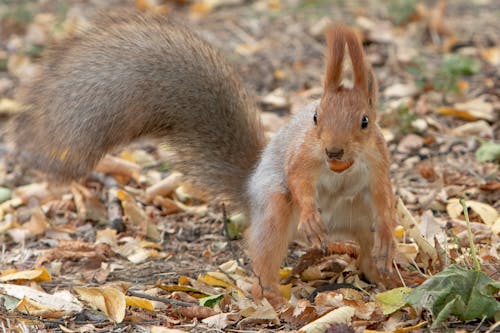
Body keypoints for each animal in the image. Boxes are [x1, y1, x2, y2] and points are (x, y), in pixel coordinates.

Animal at [7, 12, 398, 304]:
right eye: (315, 116)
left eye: (364, 121)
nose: (333, 150)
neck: (340, 166)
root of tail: (249, 190)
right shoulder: (302, 154)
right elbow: (299, 179)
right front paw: (311, 215)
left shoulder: (378, 162)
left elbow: (384, 196)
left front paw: (388, 235)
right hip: (274, 209)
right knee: (264, 254)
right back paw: (273, 294)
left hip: (358, 215)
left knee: (365, 244)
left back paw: (384, 272)